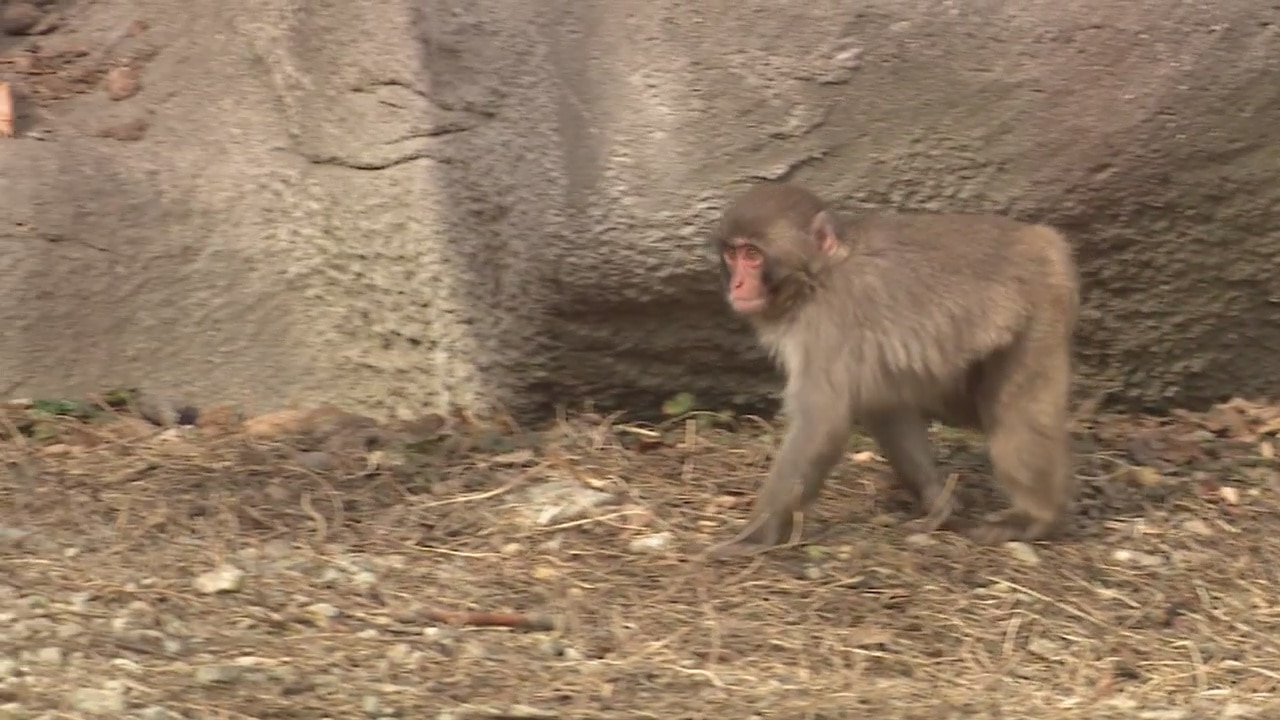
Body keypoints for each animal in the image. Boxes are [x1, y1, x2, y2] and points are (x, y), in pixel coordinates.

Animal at [705, 181, 1079, 558]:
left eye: (753, 254)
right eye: (732, 254)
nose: (736, 285)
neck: (818, 274)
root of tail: (1043, 238)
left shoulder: (826, 324)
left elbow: (821, 423)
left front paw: (757, 535)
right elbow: (881, 403)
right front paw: (938, 500)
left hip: (1041, 307)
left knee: (1018, 407)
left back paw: (1036, 516)